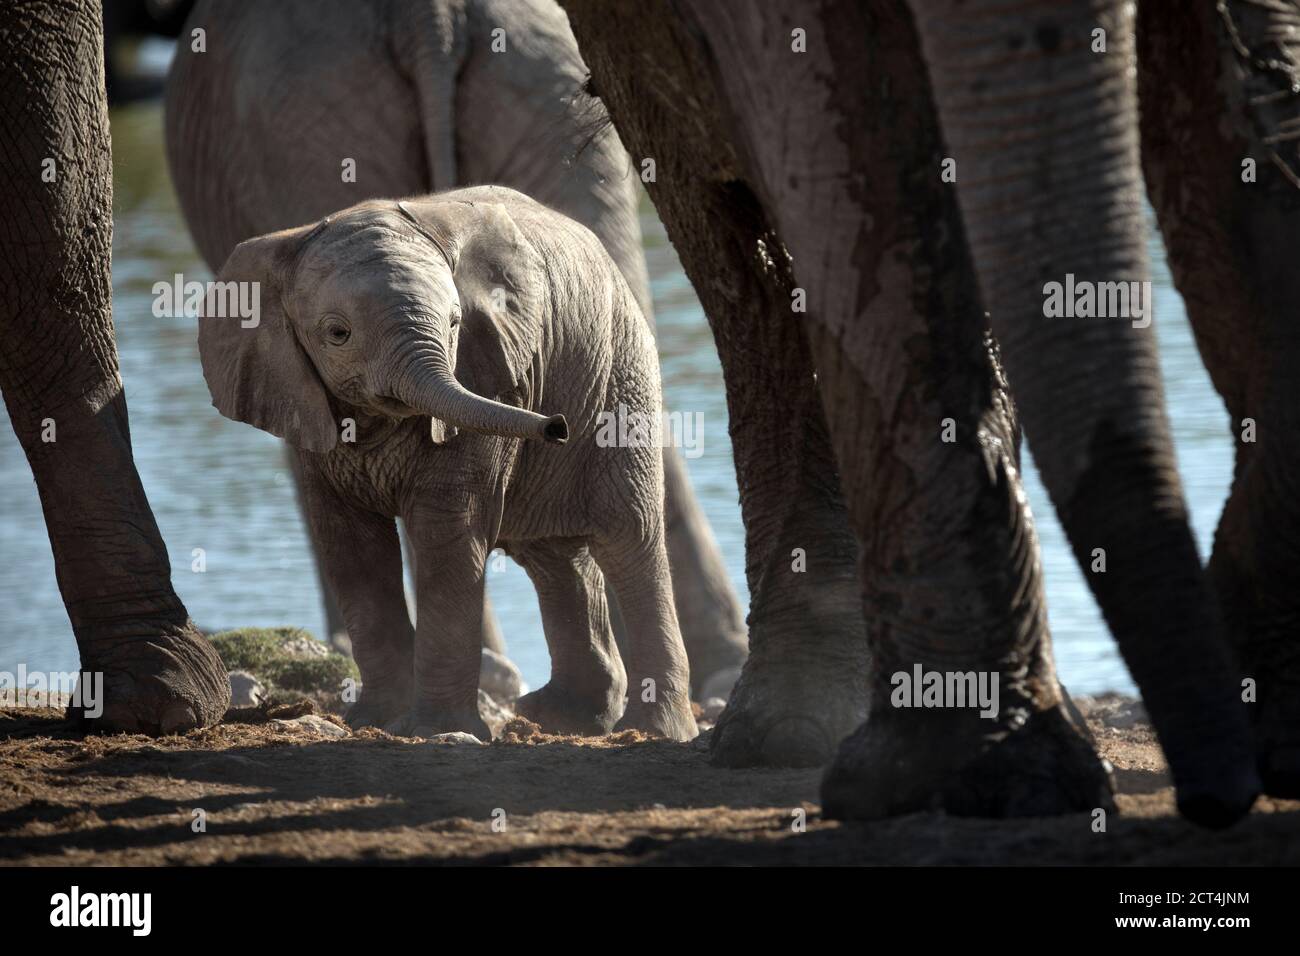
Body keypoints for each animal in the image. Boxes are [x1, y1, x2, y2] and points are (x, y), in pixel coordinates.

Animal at [196, 187, 696, 738]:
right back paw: (564, 717)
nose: (556, 426)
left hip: (624, 372)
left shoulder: (490, 371)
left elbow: (446, 528)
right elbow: (351, 545)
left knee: (629, 539)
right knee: (555, 556)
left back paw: (654, 729)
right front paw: (377, 720)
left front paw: (432, 729)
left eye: (456, 323)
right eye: (337, 333)